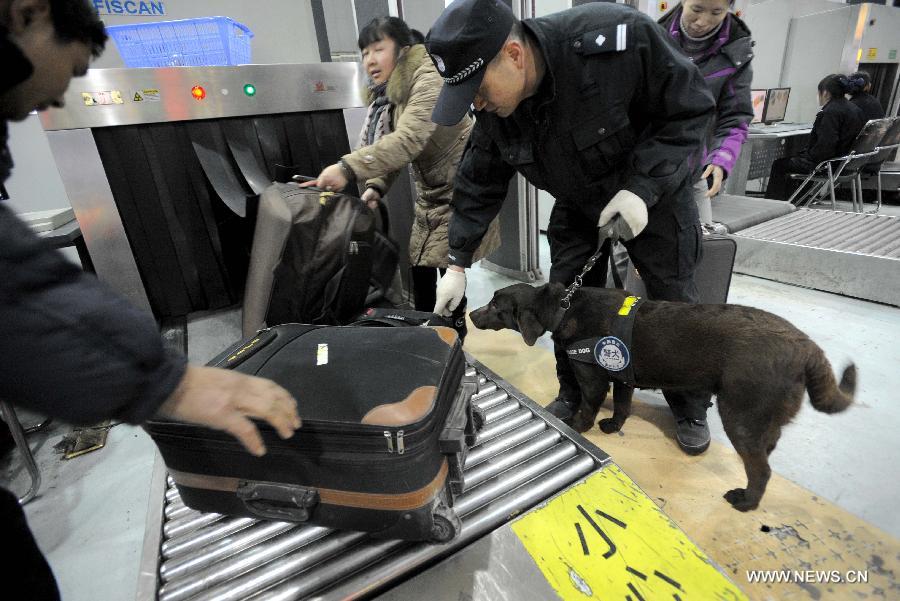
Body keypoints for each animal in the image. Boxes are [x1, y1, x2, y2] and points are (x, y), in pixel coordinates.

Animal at [468, 284, 856, 508]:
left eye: (494, 304)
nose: (470, 313)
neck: (565, 307)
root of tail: (808, 348)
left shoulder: (593, 377)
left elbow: (588, 407)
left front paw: (581, 427)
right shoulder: (622, 374)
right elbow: (622, 406)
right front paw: (613, 426)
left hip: (740, 414)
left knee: (761, 470)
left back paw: (746, 501)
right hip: (763, 415)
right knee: (767, 448)